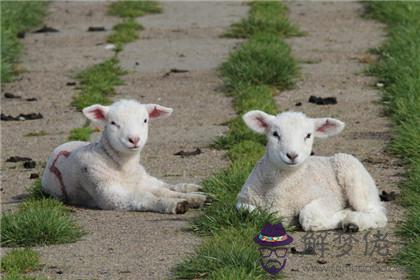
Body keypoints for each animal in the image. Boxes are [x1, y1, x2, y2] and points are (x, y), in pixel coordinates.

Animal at [41, 99, 206, 213]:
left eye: (145, 120)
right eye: (113, 123)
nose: (134, 139)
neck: (123, 166)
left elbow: (162, 190)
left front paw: (195, 197)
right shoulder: (109, 195)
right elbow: (144, 197)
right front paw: (174, 204)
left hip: (144, 177)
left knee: (165, 186)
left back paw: (196, 191)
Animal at [236, 110, 388, 232]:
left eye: (308, 135)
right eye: (275, 134)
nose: (292, 155)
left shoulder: (331, 198)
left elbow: (308, 217)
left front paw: (344, 214)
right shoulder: (242, 200)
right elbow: (248, 212)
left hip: (352, 173)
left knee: (378, 214)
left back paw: (353, 222)